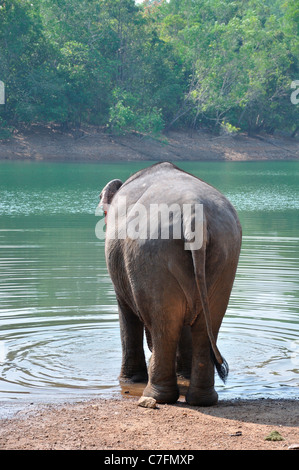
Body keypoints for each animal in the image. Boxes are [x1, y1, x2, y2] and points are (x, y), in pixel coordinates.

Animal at [99, 162, 243, 404]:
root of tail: (195, 215)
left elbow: (126, 313)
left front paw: (130, 381)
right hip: (226, 256)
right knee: (205, 326)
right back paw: (202, 399)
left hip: (152, 254)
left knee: (163, 325)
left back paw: (157, 396)